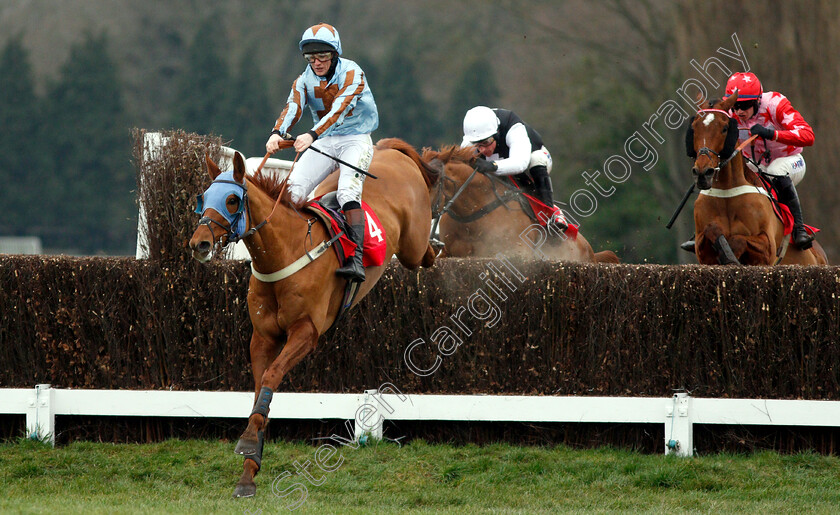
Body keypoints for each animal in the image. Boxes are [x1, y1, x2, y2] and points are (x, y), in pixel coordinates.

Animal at [189, 139, 440, 498]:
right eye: (204, 197)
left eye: (232, 199)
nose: (199, 244)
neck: (286, 253)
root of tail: (389, 150)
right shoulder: (262, 337)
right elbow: (260, 392)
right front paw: (248, 472)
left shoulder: (306, 333)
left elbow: (272, 376)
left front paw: (248, 444)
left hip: (411, 244)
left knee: (425, 253)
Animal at [688, 93, 828, 268]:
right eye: (694, 127)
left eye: (725, 128)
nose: (702, 173)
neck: (727, 192)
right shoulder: (703, 253)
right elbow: (711, 229)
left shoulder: (767, 248)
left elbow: (738, 240)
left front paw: (730, 255)